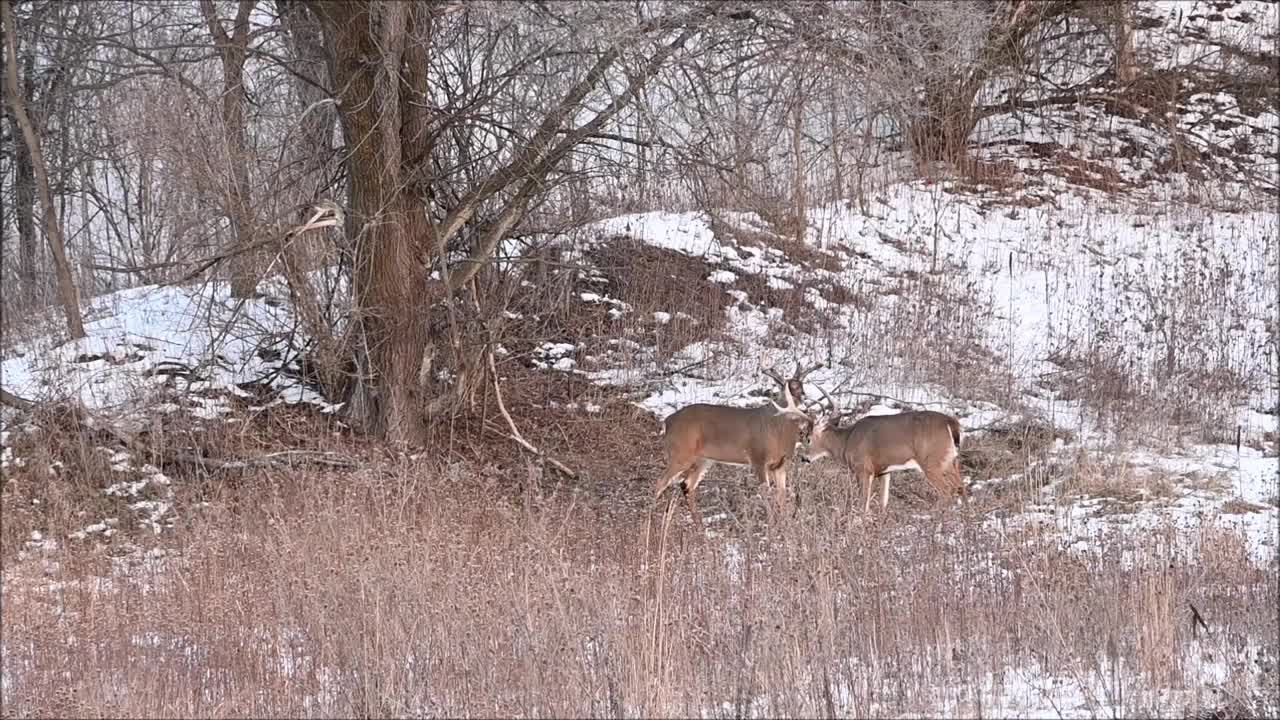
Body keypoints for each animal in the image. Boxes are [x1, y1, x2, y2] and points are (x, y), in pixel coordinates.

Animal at [650, 358, 819, 520]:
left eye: (802, 389)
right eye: (786, 390)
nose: (801, 401)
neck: (778, 430)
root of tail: (667, 421)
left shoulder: (780, 464)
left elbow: (782, 494)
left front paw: (785, 522)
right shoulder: (757, 457)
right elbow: (765, 491)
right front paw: (772, 523)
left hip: (703, 459)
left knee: (686, 484)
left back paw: (699, 525)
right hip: (681, 453)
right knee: (660, 482)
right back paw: (651, 520)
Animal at [798, 389, 967, 512]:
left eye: (808, 438)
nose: (804, 458)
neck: (846, 441)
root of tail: (952, 424)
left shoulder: (863, 468)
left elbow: (863, 502)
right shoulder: (884, 471)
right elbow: (883, 502)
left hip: (932, 462)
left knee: (946, 491)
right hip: (950, 461)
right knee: (961, 488)